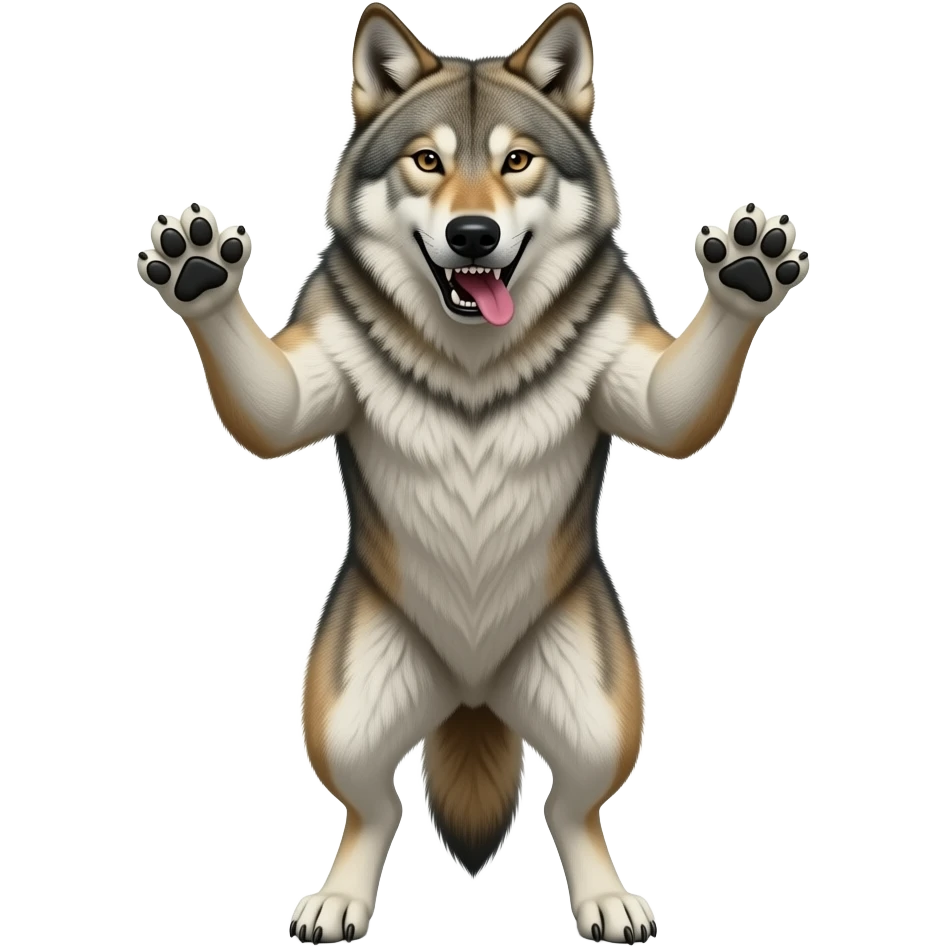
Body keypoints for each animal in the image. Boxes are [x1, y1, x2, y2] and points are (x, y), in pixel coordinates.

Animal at [137, 2, 809, 942]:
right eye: (427, 160)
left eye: (516, 161)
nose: (472, 235)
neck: (472, 357)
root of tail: (472, 687)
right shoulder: (301, 388)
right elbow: (270, 412)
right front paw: (196, 268)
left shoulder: (643, 387)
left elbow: (674, 411)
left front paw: (748, 269)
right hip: (345, 711)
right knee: (374, 808)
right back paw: (338, 900)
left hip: (600, 712)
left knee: (571, 809)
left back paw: (606, 900)